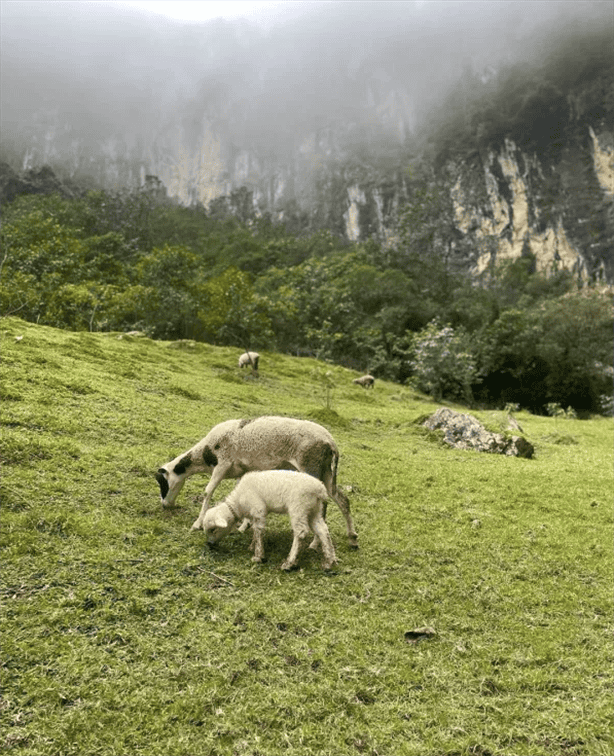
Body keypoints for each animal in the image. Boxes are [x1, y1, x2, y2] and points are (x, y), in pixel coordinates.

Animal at [155, 414, 360, 548]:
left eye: (162, 483)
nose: (164, 505)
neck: (206, 454)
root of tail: (331, 442)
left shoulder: (223, 463)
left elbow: (208, 491)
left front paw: (197, 524)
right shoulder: (243, 470)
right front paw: (244, 526)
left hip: (311, 466)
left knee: (323, 505)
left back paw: (316, 543)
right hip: (325, 471)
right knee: (342, 499)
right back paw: (352, 537)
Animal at [203, 470, 336, 568]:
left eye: (213, 529)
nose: (209, 544)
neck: (238, 503)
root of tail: (320, 489)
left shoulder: (258, 510)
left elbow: (259, 531)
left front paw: (258, 556)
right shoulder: (255, 514)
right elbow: (255, 530)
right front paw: (252, 546)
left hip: (299, 507)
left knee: (301, 532)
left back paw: (289, 562)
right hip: (314, 509)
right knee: (323, 530)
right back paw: (329, 561)